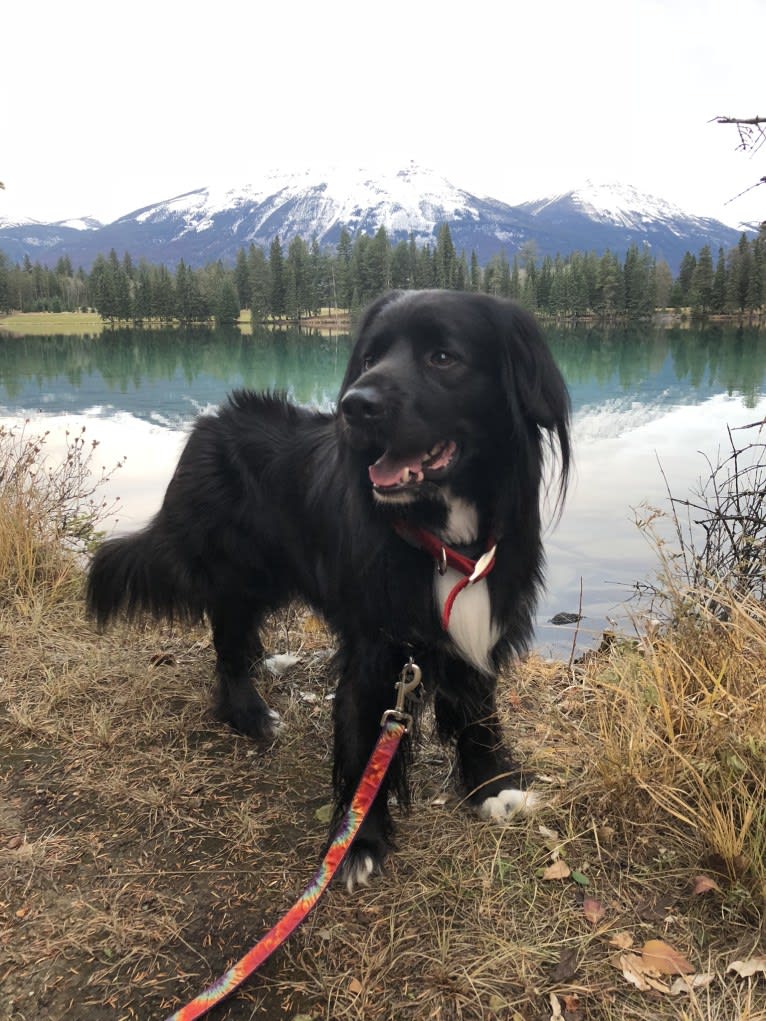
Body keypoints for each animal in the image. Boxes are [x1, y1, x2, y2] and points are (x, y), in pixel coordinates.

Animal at [89, 287, 571, 886]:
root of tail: (210, 424)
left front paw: (492, 789)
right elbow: (364, 739)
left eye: (443, 357)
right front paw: (359, 840)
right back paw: (248, 712)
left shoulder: (477, 625)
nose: (355, 406)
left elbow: (478, 711)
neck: (437, 536)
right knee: (226, 642)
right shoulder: (378, 648)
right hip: (237, 569)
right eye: (369, 358)